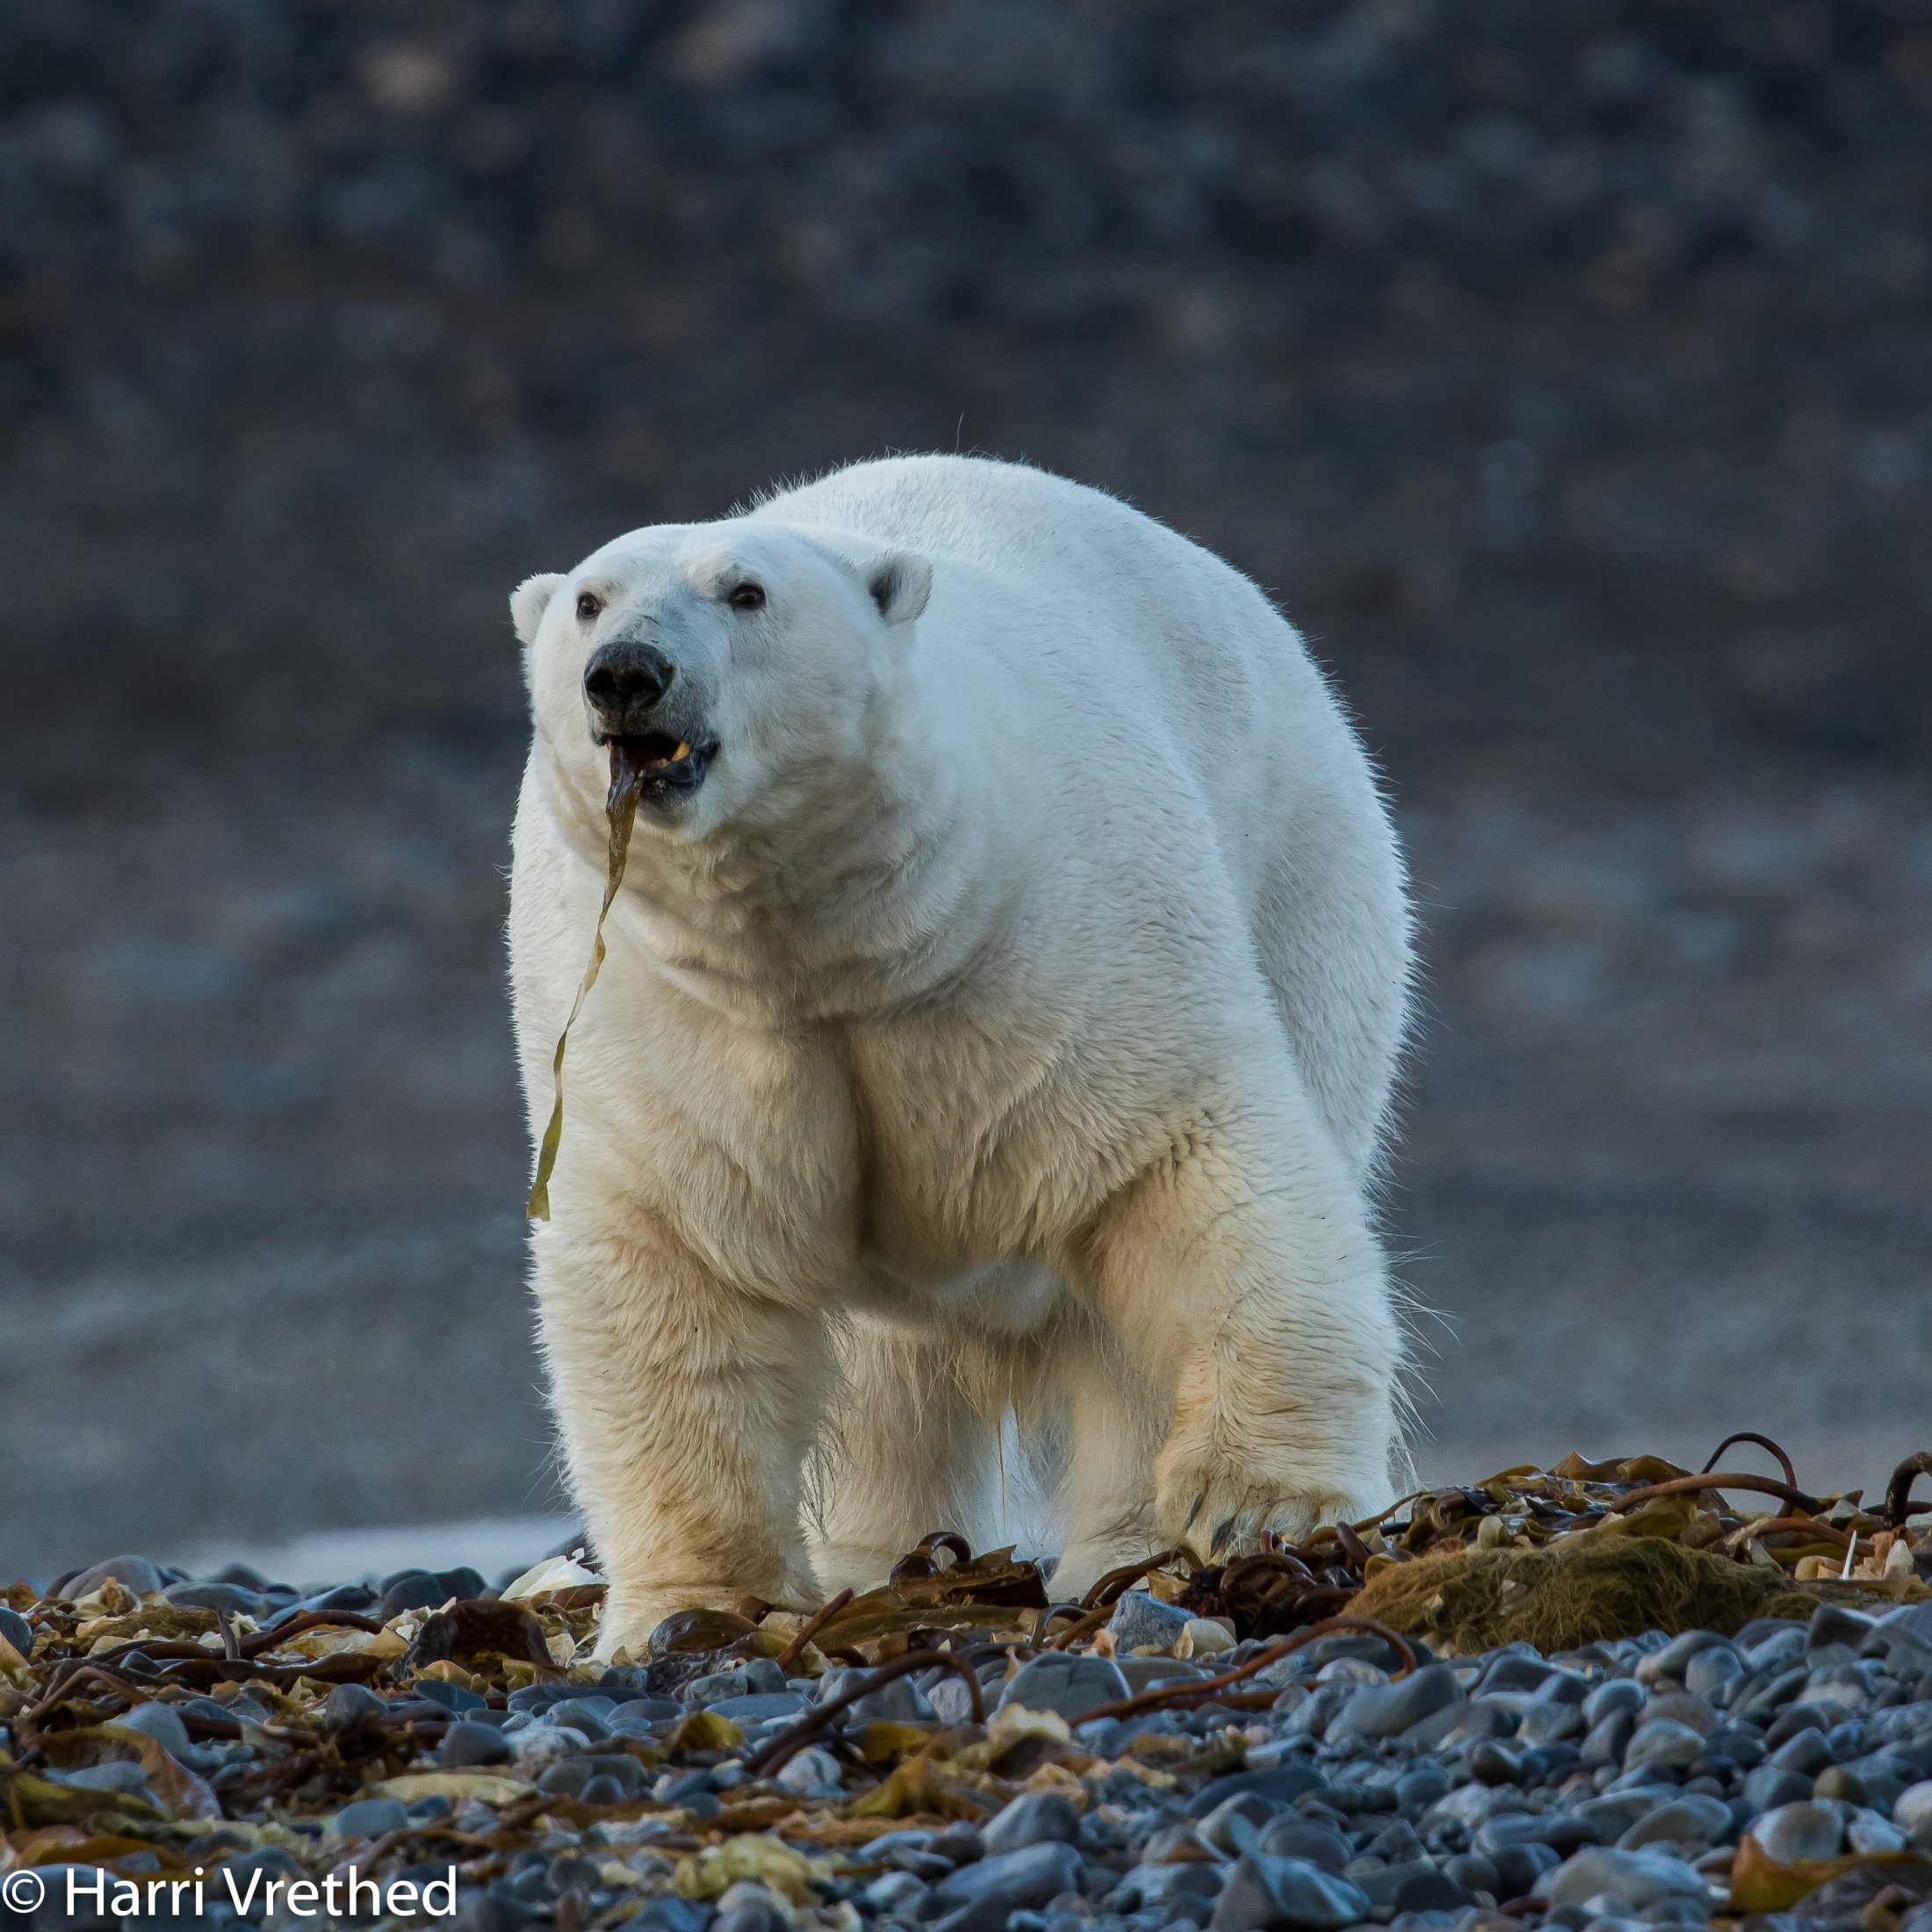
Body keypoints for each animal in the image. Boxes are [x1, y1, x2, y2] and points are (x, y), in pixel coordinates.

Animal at [506, 456, 1414, 1662]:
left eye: (745, 591)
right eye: (589, 602)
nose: (626, 674)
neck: (836, 948)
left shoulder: (1064, 951)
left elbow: (1188, 1168)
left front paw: (1259, 1506)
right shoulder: (663, 1021)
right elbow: (678, 1267)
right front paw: (689, 1610)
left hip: (1310, 880)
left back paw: (1121, 1549)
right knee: (888, 1379)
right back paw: (883, 1560)